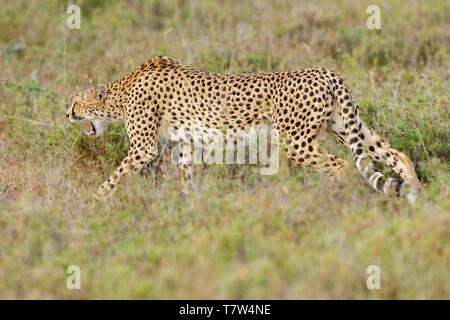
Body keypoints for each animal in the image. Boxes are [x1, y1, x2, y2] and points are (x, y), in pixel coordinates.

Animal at [65, 56, 424, 201]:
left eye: (75, 102)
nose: (67, 114)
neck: (122, 90)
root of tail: (326, 71)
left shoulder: (144, 148)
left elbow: (113, 178)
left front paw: (91, 205)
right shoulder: (186, 144)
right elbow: (185, 179)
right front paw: (188, 210)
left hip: (296, 141)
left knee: (341, 166)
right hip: (345, 125)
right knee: (397, 156)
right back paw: (421, 199)